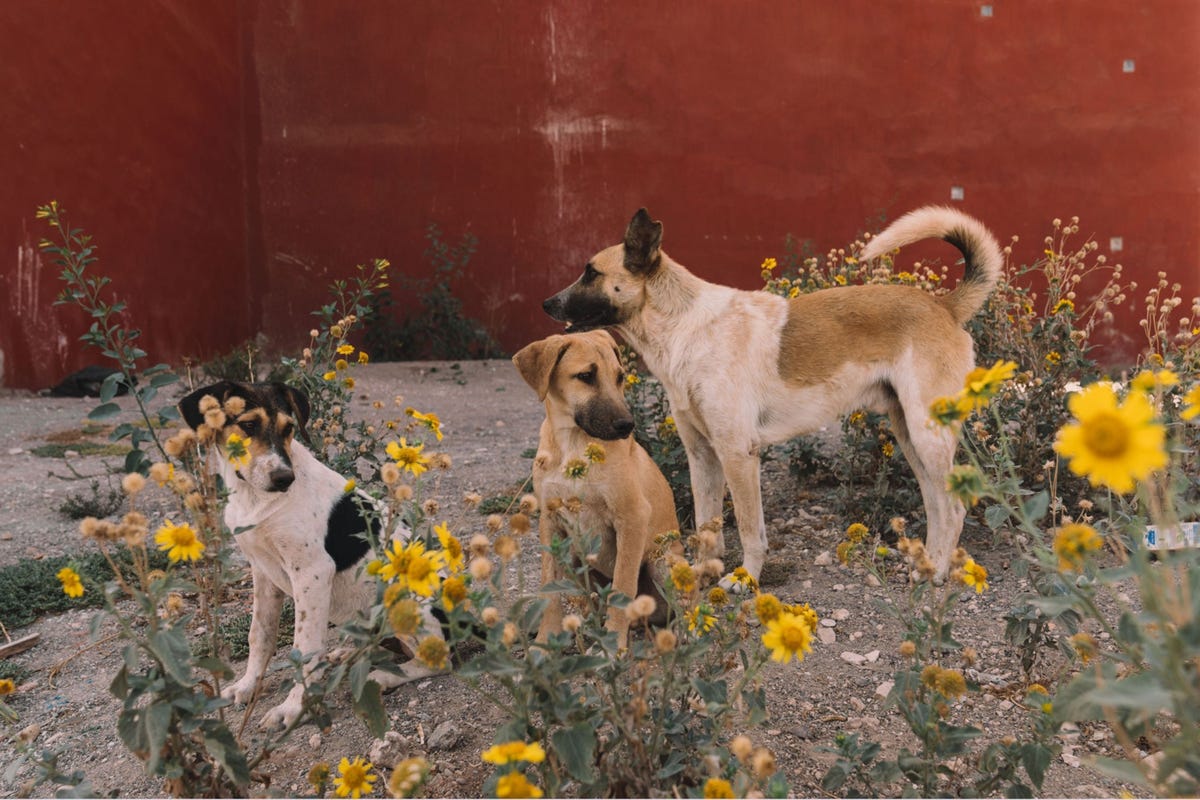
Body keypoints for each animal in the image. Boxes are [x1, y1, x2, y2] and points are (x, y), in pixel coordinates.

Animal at [182, 381, 451, 734]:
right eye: (248, 425)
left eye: (288, 428)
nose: (284, 478)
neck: (255, 498)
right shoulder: (262, 571)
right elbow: (260, 635)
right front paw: (247, 686)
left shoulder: (312, 572)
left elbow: (305, 646)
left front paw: (294, 708)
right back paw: (347, 654)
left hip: (405, 605)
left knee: (437, 660)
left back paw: (384, 676)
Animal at [511, 328, 681, 647]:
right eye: (586, 376)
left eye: (620, 376)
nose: (627, 425)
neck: (573, 445)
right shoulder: (550, 521)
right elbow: (549, 588)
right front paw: (545, 641)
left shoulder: (632, 517)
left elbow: (623, 585)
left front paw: (613, 646)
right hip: (577, 560)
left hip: (663, 561)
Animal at [544, 206, 1003, 582]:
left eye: (591, 272)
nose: (548, 304)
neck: (686, 328)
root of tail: (944, 306)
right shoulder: (702, 456)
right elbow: (707, 528)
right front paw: (699, 578)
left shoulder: (737, 453)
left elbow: (750, 530)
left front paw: (745, 579)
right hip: (911, 436)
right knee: (937, 506)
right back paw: (928, 564)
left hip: (927, 437)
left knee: (954, 509)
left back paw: (938, 573)